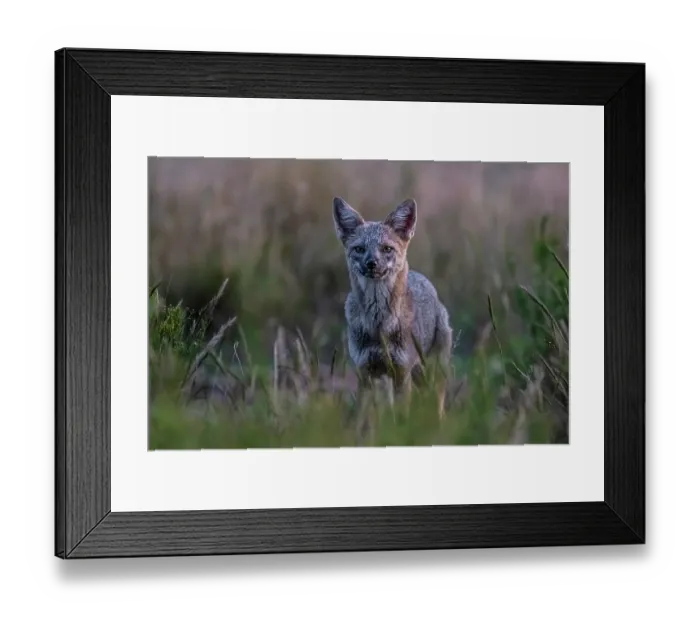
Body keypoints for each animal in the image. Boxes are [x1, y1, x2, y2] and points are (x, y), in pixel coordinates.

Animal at [332, 196, 453, 419]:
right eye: (359, 249)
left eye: (387, 249)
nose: (371, 263)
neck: (378, 324)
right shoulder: (365, 373)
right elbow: (363, 419)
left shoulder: (401, 373)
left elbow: (401, 417)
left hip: (431, 373)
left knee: (437, 407)